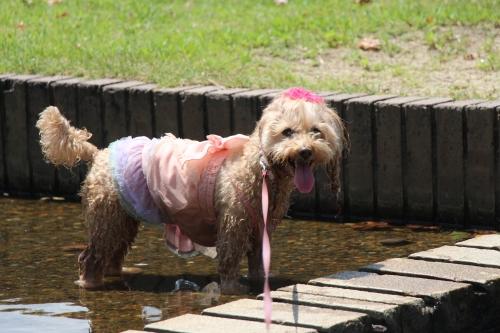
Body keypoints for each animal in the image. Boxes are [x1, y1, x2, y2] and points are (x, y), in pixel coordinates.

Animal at [36, 87, 348, 294]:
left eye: (316, 131)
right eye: (287, 132)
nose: (305, 151)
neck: (261, 170)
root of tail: (98, 153)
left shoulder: (260, 228)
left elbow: (259, 263)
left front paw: (260, 284)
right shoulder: (232, 226)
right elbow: (229, 261)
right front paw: (232, 290)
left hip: (122, 218)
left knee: (114, 253)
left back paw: (120, 272)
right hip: (106, 218)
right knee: (90, 256)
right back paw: (89, 283)